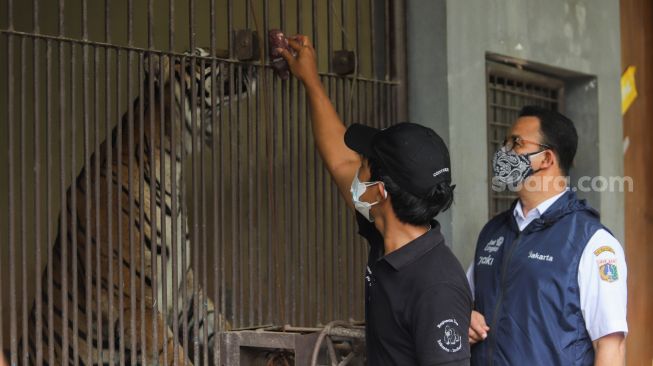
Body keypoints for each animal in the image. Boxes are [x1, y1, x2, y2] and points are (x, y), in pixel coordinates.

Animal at [21, 47, 255, 364]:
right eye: (202, 59)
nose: (250, 60)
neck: (171, 166)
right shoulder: (134, 305)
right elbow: (174, 354)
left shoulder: (184, 291)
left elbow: (217, 323)